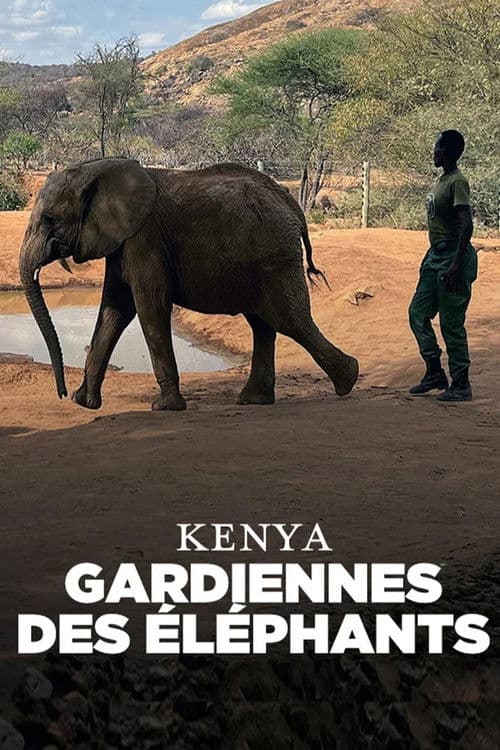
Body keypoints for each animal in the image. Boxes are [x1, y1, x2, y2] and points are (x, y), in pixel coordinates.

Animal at [19, 158, 359, 411]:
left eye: (49, 219)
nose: (61, 393)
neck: (95, 171)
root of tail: (294, 207)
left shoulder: (145, 239)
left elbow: (149, 308)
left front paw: (165, 407)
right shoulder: (121, 241)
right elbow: (113, 311)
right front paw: (84, 403)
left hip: (275, 257)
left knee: (289, 320)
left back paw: (348, 381)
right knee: (263, 324)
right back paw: (255, 399)